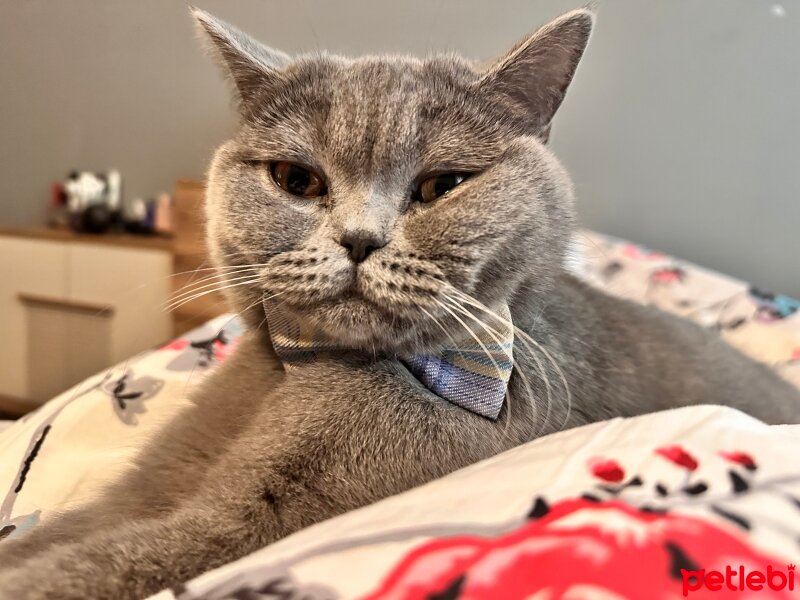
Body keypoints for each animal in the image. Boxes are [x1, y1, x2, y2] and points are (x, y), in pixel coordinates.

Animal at [1, 7, 800, 596]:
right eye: (297, 180)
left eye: (443, 185)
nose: (359, 239)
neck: (292, 375)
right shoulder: (151, 481)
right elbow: (61, 532)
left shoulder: (247, 522)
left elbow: (92, 567)